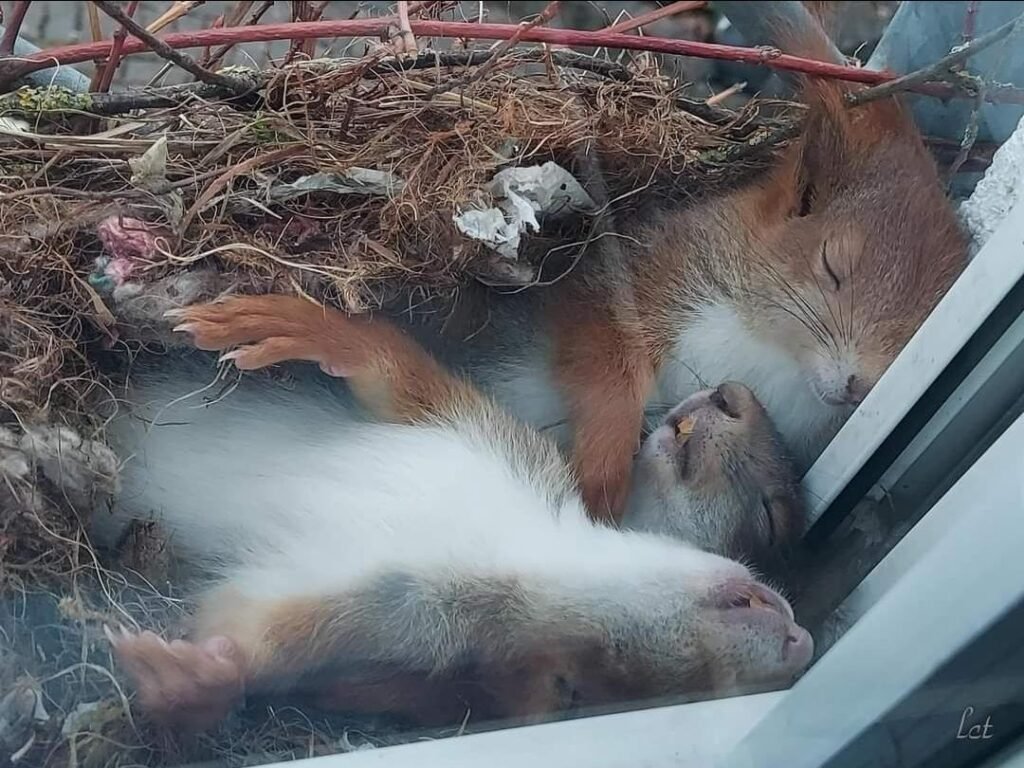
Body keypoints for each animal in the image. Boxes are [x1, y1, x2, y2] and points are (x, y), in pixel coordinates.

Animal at [101, 294, 806, 733]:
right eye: (770, 520)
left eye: (580, 688)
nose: (801, 643)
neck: (522, 545)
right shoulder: (484, 433)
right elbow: (392, 370)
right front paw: (295, 323)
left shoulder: (385, 618)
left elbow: (251, 636)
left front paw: (194, 679)